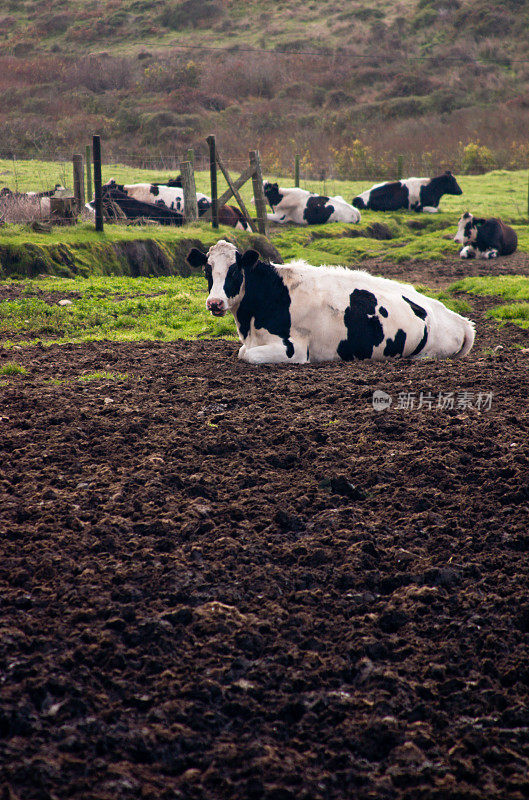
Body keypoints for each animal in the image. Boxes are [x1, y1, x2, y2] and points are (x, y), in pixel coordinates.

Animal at [187, 238, 474, 362]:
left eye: (235, 271)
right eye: (207, 271)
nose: (215, 303)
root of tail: (460, 320)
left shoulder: (294, 349)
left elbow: (245, 355)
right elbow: (242, 351)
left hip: (429, 352)